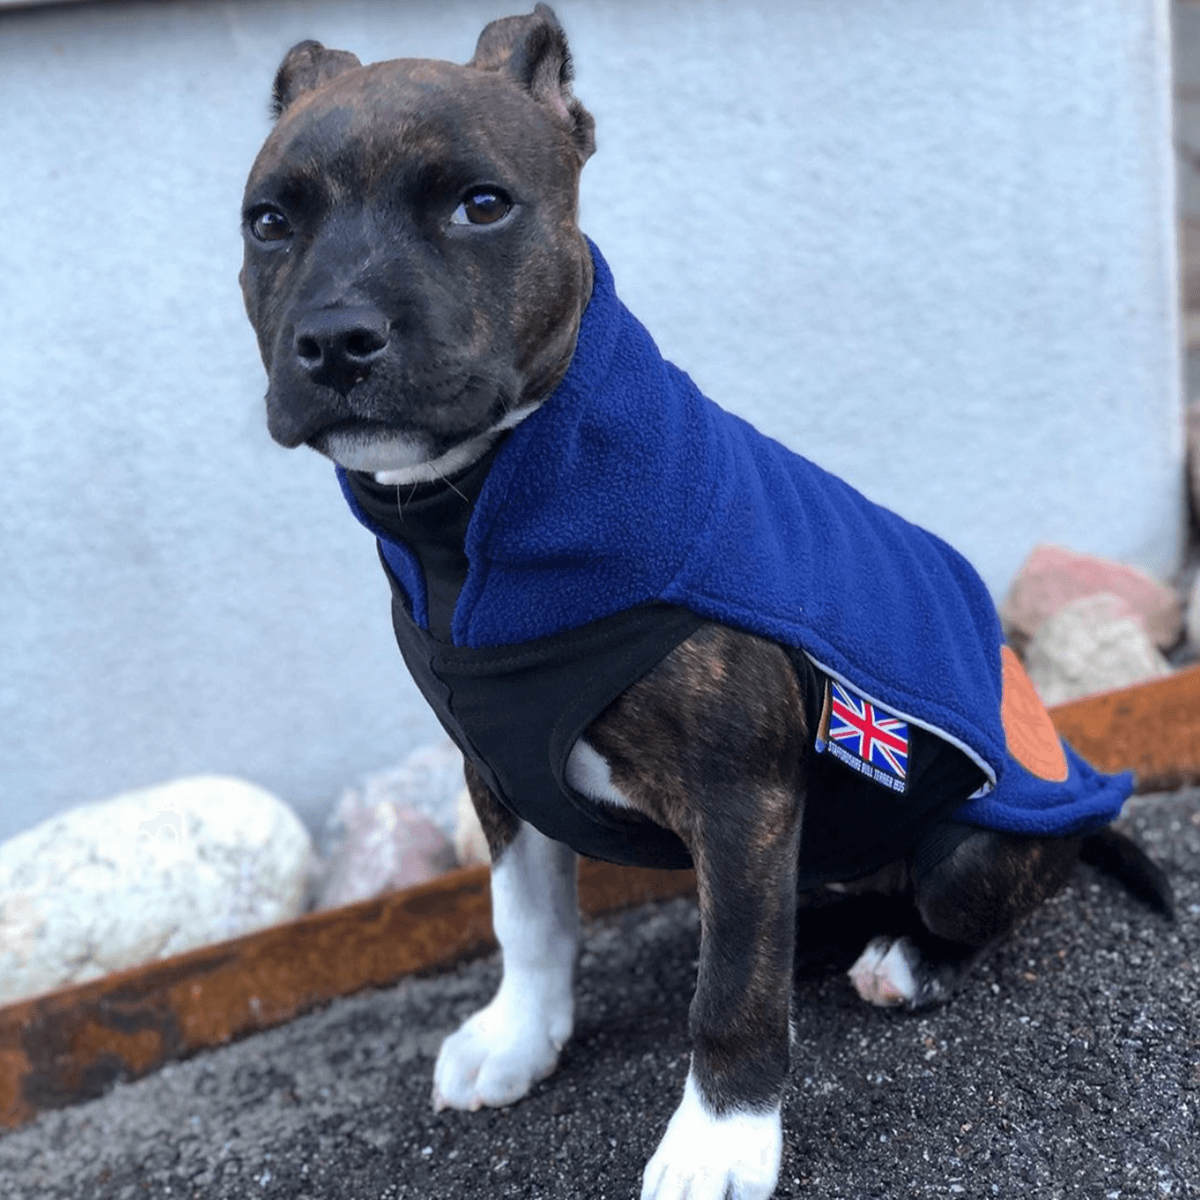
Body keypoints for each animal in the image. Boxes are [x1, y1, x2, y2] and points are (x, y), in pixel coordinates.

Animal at [241, 11, 1171, 1200]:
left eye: (481, 205)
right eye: (270, 224)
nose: (336, 338)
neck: (484, 522)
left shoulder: (742, 798)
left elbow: (731, 992)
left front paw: (721, 1138)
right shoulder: (497, 775)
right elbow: (527, 923)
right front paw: (520, 1038)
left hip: (977, 851)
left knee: (938, 904)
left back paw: (903, 958)